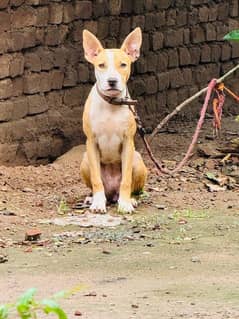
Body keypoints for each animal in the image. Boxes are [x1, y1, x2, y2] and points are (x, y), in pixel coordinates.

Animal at [80, 26, 148, 214]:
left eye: (123, 65)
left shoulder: (128, 142)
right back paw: (93, 198)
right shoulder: (91, 142)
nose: (112, 81)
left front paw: (125, 204)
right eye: (101, 65)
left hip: (138, 160)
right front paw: (97, 203)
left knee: (132, 187)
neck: (111, 104)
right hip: (85, 160)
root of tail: (111, 194)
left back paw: (130, 199)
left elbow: (126, 180)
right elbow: (96, 179)